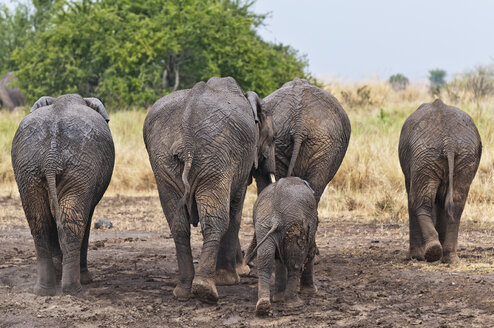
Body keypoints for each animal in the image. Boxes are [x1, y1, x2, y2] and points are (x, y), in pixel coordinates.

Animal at [11, 94, 114, 294]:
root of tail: (51, 159)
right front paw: (85, 279)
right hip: (79, 168)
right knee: (72, 221)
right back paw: (74, 289)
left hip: (29, 169)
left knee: (39, 222)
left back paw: (44, 289)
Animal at [144, 76, 278, 302]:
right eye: (274, 138)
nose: (248, 264)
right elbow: (236, 211)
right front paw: (232, 278)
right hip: (215, 158)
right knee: (217, 220)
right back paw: (206, 290)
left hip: (164, 161)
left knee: (178, 224)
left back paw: (183, 291)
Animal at [245, 177, 318, 316]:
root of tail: (276, 218)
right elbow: (310, 251)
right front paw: (312, 292)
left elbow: (278, 259)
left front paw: (278, 299)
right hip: (293, 226)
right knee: (295, 264)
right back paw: (294, 304)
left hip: (263, 225)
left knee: (265, 260)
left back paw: (263, 306)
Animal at [398, 98, 482, 262]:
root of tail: (448, 141)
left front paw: (415, 257)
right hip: (463, 156)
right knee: (457, 203)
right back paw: (449, 257)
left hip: (425, 155)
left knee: (419, 201)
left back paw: (433, 252)